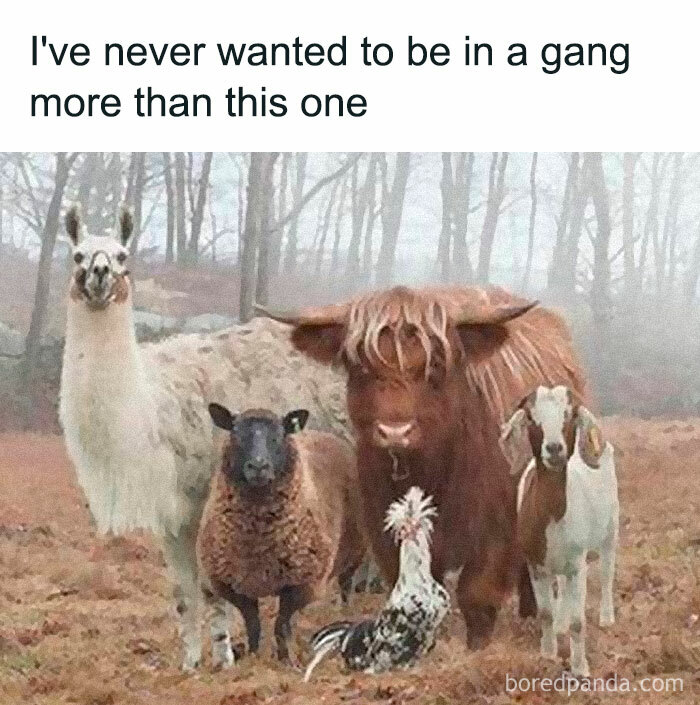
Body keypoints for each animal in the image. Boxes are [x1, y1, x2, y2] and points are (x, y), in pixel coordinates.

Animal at [197, 403, 367, 663]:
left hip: (355, 550)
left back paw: (344, 613)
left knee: (346, 585)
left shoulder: (301, 583)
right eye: (236, 434)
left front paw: (286, 660)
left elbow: (280, 626)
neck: (257, 544)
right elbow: (254, 625)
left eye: (278, 436)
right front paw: (253, 657)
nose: (258, 467)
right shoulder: (232, 586)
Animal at [258, 285, 588, 647]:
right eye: (360, 367)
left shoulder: (497, 530)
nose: (395, 432)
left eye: (435, 366)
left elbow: (478, 594)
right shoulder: (385, 525)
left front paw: (477, 649)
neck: (431, 469)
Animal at [500, 385, 619, 678]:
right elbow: (545, 613)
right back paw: (560, 625)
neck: (552, 514)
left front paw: (580, 668)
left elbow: (579, 621)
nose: (554, 449)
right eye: (531, 417)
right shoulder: (535, 563)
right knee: (562, 587)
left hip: (611, 530)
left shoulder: (578, 564)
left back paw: (607, 617)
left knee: (607, 572)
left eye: (571, 414)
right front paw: (548, 655)